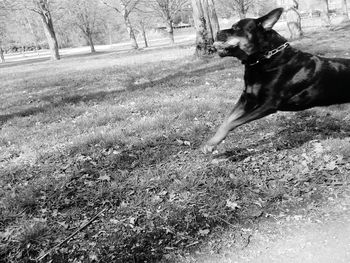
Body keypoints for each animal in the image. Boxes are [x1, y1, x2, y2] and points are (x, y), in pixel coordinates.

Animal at [201, 8, 350, 154]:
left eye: (236, 28)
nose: (217, 32)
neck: (263, 59)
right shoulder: (247, 98)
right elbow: (227, 120)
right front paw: (212, 143)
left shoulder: (268, 104)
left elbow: (234, 122)